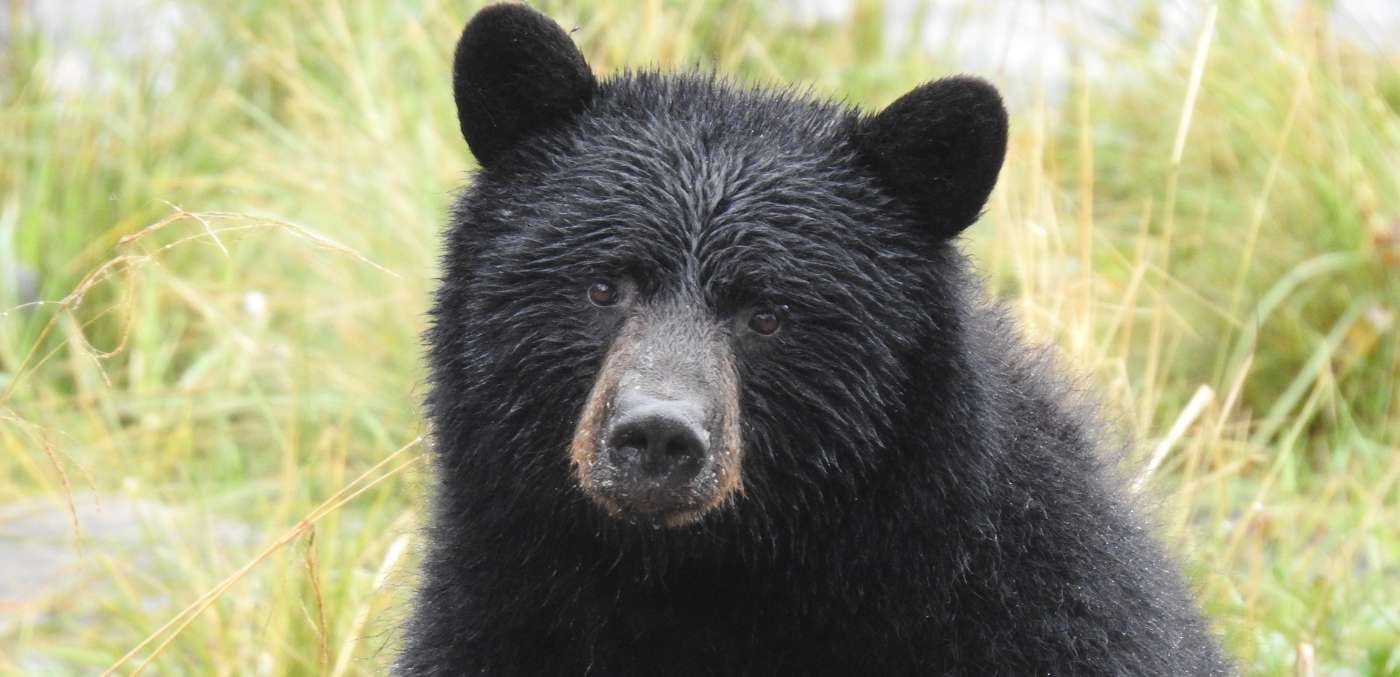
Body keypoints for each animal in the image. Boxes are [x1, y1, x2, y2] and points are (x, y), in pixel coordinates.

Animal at [399, 4, 1232, 675]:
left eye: (768, 314)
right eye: (604, 286)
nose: (658, 436)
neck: (689, 579)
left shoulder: (1048, 612)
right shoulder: (496, 616)